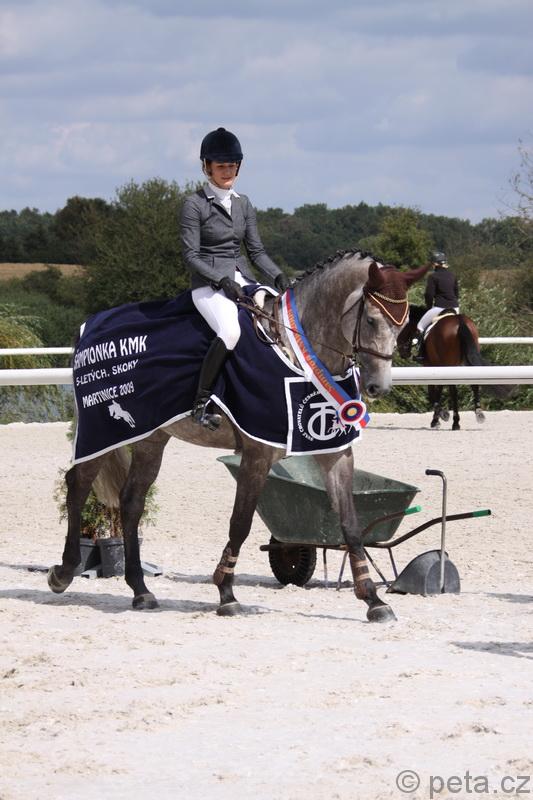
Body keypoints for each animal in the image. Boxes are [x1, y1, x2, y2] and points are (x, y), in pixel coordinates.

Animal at [48, 253, 426, 623]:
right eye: (372, 321)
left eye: (403, 323)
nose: (378, 388)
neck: (299, 354)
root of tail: (90, 324)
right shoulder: (257, 455)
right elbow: (240, 522)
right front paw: (226, 594)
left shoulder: (335, 451)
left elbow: (350, 524)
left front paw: (374, 601)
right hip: (101, 431)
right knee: (78, 484)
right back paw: (63, 573)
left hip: (151, 437)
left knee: (131, 500)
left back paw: (140, 590)